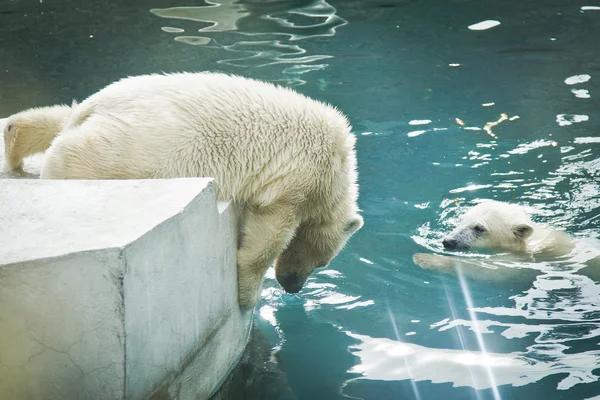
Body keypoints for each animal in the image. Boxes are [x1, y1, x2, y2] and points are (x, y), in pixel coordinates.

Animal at [3, 72, 360, 310]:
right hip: (139, 148)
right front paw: (247, 296)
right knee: (74, 156)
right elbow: (268, 235)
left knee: (61, 117)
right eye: (322, 262)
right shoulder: (300, 178)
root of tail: (96, 105)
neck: (339, 169)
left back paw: (15, 136)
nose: (293, 287)